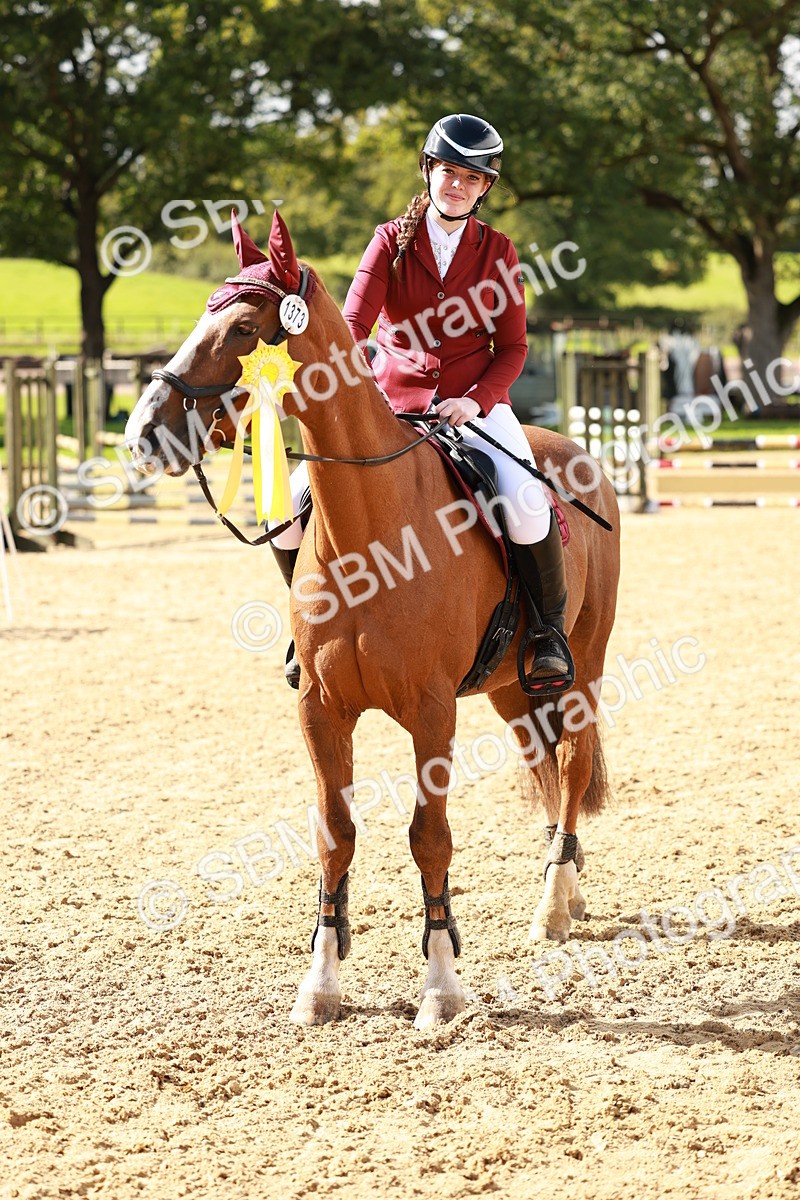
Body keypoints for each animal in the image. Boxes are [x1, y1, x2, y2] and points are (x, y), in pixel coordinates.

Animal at [125, 211, 621, 1030]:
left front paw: (441, 985)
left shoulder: (430, 713)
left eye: (242, 328)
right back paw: (568, 891)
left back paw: (552, 908)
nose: (141, 433)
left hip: (581, 667)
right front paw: (321, 981)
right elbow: (336, 836)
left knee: (574, 765)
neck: (372, 525)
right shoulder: (321, 710)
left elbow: (430, 838)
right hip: (511, 691)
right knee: (546, 770)